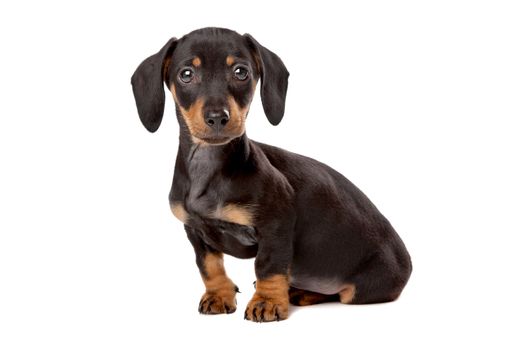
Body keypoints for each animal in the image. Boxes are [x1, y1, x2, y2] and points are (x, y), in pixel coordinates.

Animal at [130, 28, 410, 322]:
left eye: (241, 72)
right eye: (186, 74)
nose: (218, 117)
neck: (210, 167)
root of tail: (408, 262)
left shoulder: (276, 224)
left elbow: (268, 265)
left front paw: (267, 301)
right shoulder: (195, 231)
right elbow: (209, 266)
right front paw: (219, 295)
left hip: (365, 287)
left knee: (341, 293)